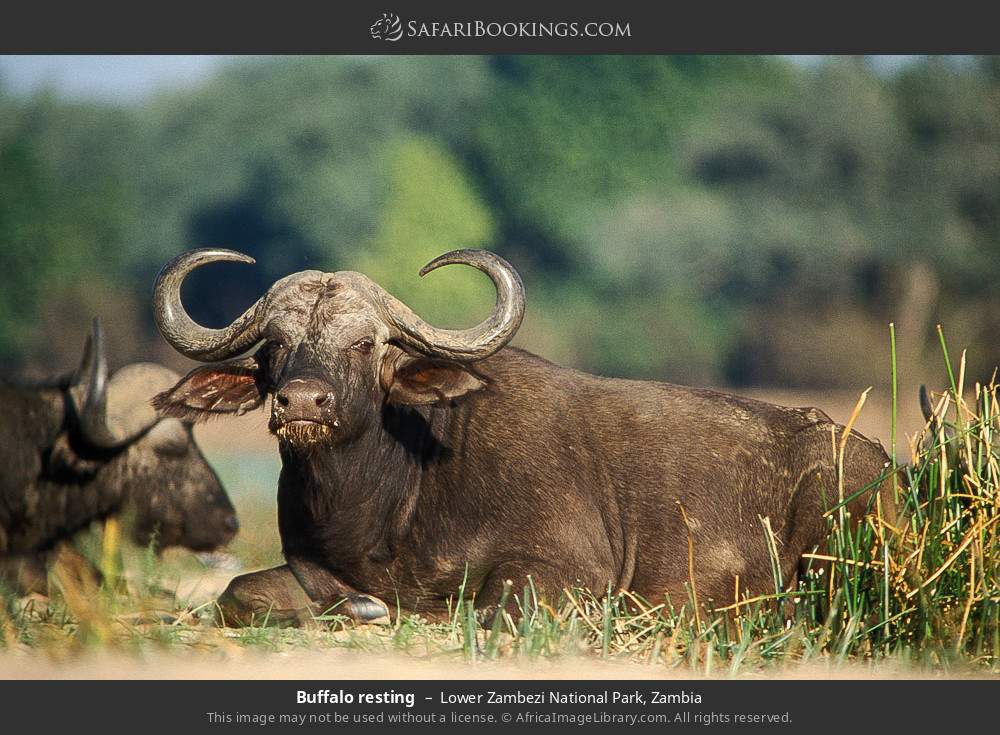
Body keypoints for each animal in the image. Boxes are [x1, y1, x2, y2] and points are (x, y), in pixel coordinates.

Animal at [151, 248, 894, 626]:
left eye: (365, 344)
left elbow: (481, 609)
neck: (386, 502)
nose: (302, 401)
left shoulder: (564, 572)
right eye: (276, 344)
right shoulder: (311, 571)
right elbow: (237, 594)